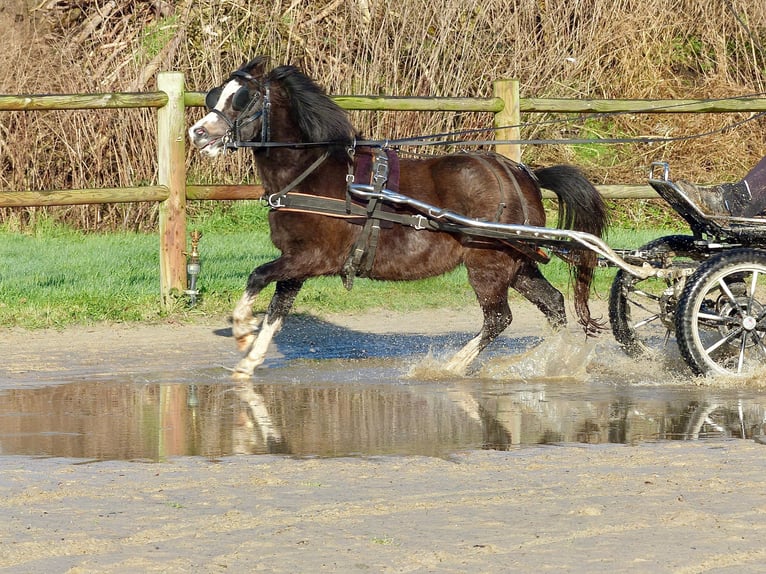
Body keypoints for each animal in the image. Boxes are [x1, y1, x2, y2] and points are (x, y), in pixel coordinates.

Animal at [189, 57, 608, 378]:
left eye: (241, 99)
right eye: (216, 95)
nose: (198, 133)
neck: (312, 174)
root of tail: (523, 174)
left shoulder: (311, 257)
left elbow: (257, 276)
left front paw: (242, 330)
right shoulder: (296, 262)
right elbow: (278, 310)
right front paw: (249, 360)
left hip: (488, 263)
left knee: (498, 318)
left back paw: (452, 367)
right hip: (517, 262)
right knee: (553, 304)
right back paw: (549, 360)